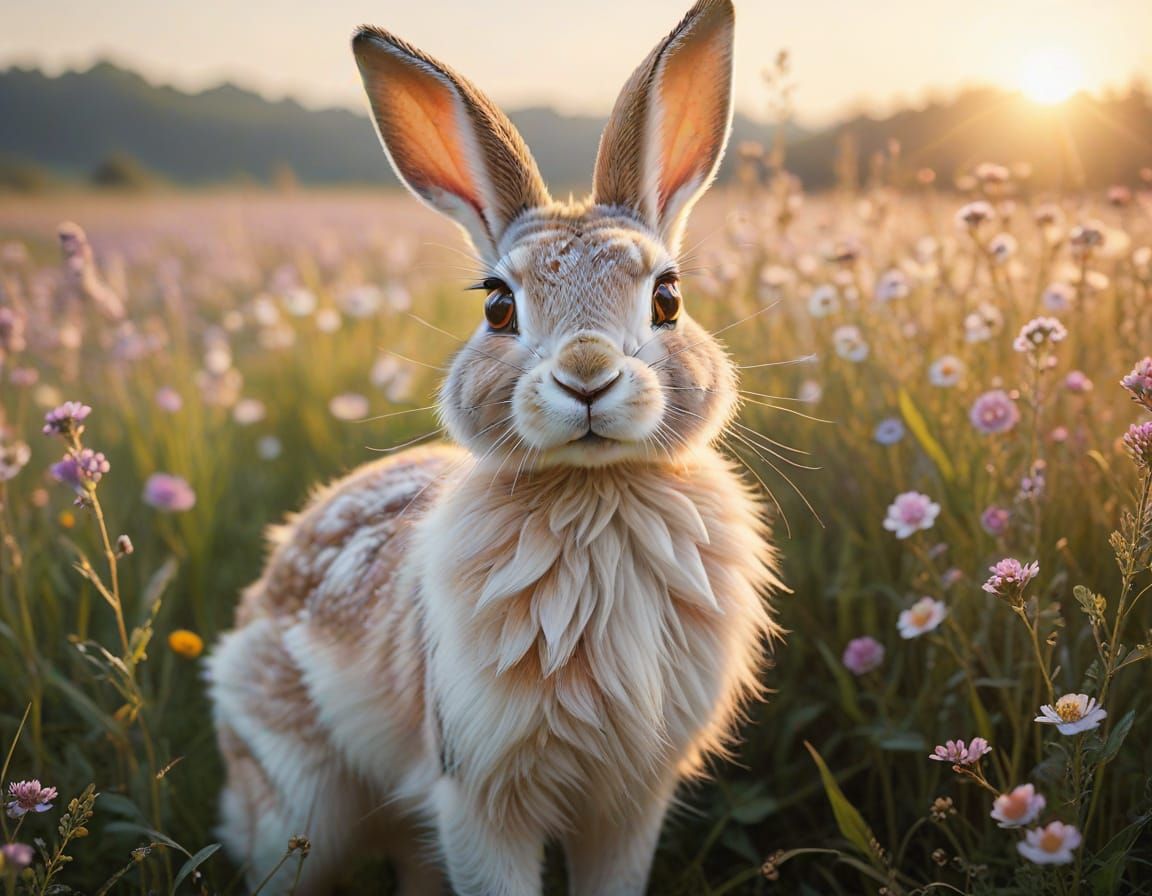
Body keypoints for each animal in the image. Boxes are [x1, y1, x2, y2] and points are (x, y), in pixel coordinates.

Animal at [207, 0, 783, 893]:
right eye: (498, 307)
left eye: (668, 298)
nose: (587, 377)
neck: (594, 490)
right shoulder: (478, 792)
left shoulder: (628, 799)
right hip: (300, 810)